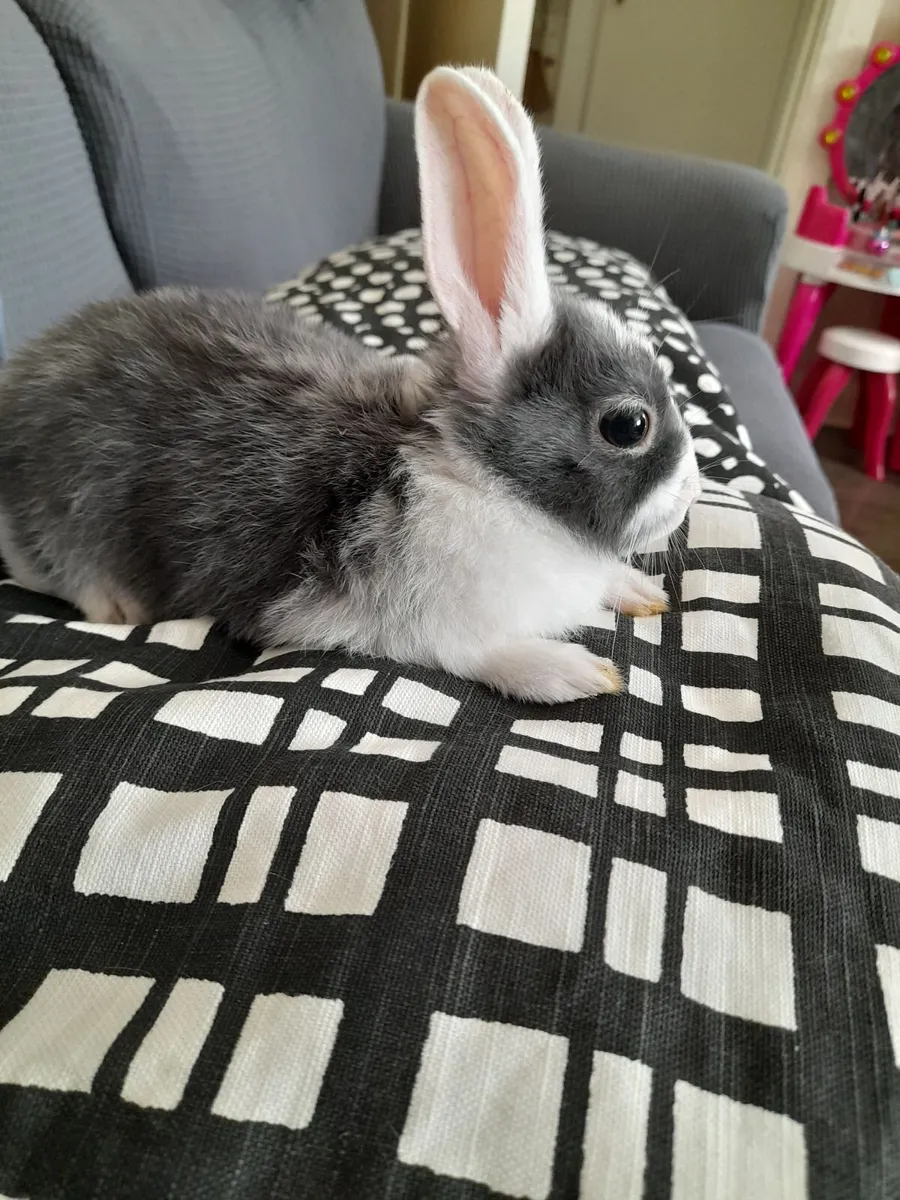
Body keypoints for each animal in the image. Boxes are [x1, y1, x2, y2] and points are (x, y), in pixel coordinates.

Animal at [0, 66, 701, 705]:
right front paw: (571, 672)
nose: (692, 491)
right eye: (628, 425)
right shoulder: (403, 619)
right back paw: (115, 603)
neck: (483, 479)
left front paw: (638, 592)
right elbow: (474, 652)